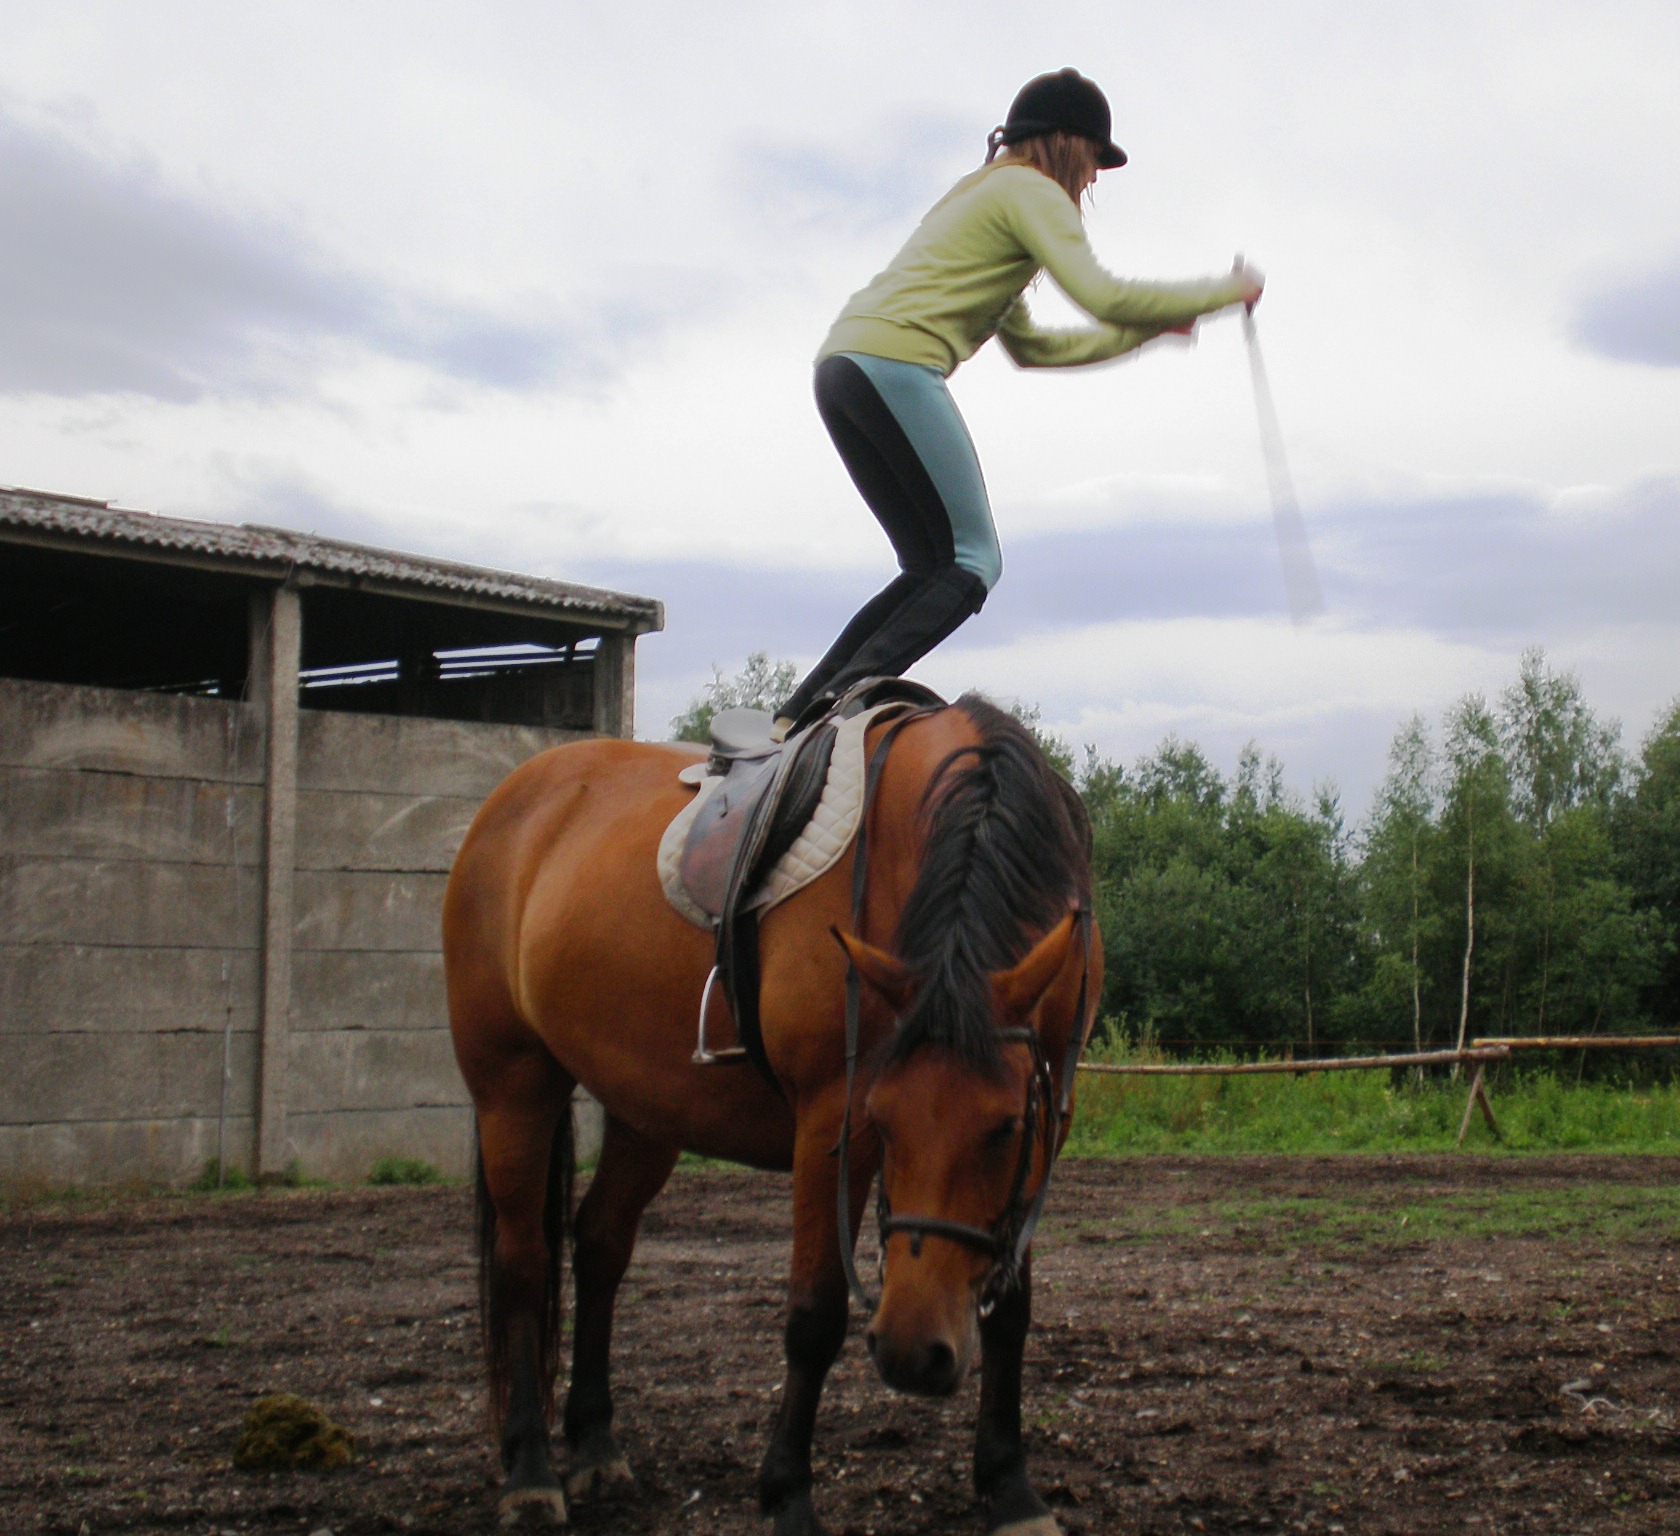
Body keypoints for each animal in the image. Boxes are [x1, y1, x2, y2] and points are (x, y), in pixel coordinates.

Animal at [443, 695, 1102, 1532]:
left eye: (1005, 1129)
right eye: (885, 1120)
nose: (912, 1353)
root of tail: (515, 796)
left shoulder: (1050, 1122)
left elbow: (1010, 1306)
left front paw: (1010, 1485)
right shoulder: (831, 1122)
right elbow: (815, 1314)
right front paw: (788, 1492)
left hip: (646, 1108)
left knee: (599, 1246)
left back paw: (594, 1444)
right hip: (513, 1084)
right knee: (523, 1263)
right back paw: (530, 1467)